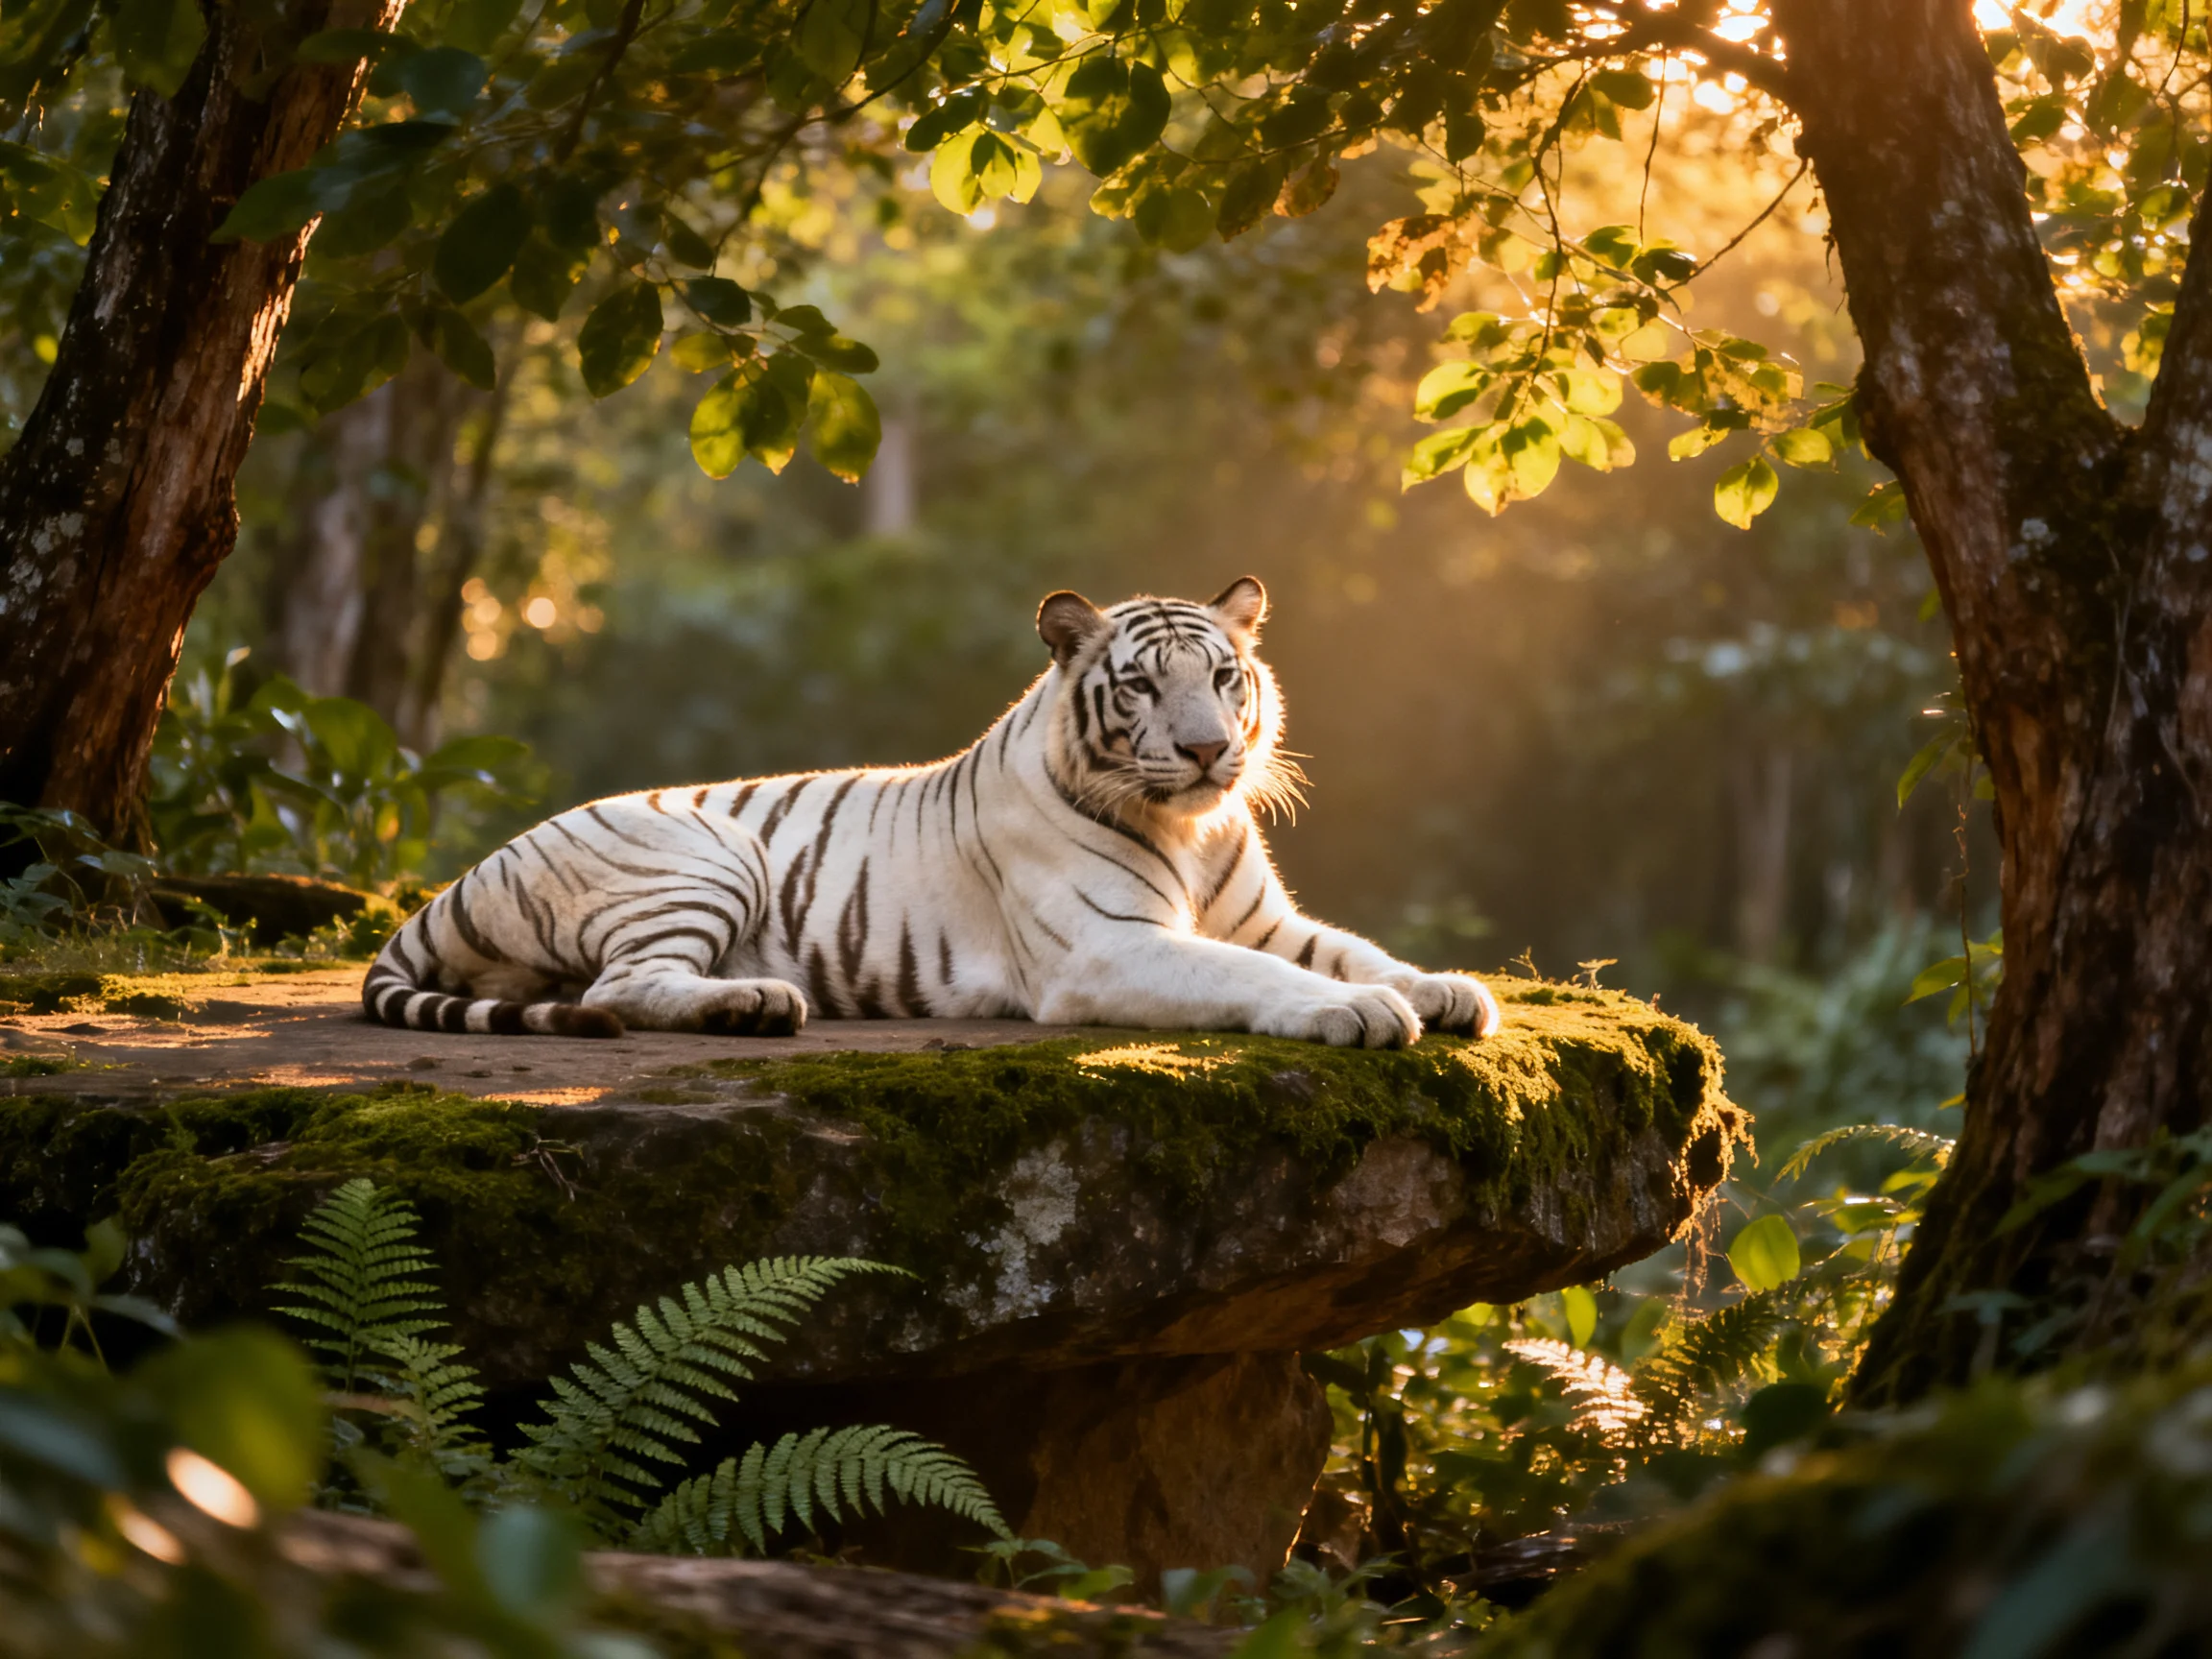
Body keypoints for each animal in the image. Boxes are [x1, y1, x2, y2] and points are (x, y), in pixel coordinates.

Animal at [362, 577, 1501, 1048]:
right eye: (1141, 686)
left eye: (1224, 677)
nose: (1208, 749)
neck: (1192, 825)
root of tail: (446, 892)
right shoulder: (1109, 948)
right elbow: (1259, 977)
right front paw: (1356, 1014)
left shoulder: (1265, 918)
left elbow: (1356, 950)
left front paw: (1447, 989)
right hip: (705, 853)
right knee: (624, 987)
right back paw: (754, 1003)